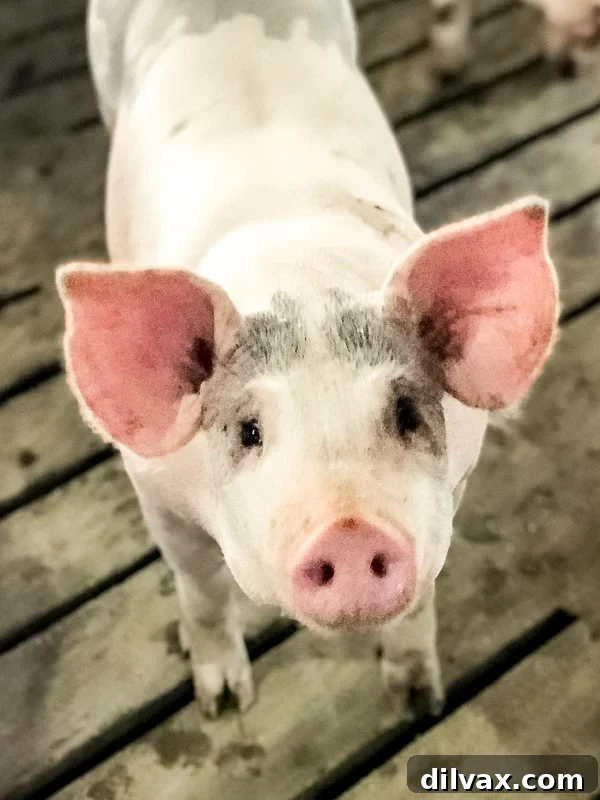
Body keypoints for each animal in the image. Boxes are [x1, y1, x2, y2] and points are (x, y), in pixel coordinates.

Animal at [56, 0, 559, 719]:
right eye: (248, 431)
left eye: (408, 414)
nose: (348, 531)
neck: (300, 282)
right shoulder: (157, 495)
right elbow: (202, 593)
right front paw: (224, 706)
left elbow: (422, 599)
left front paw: (418, 699)